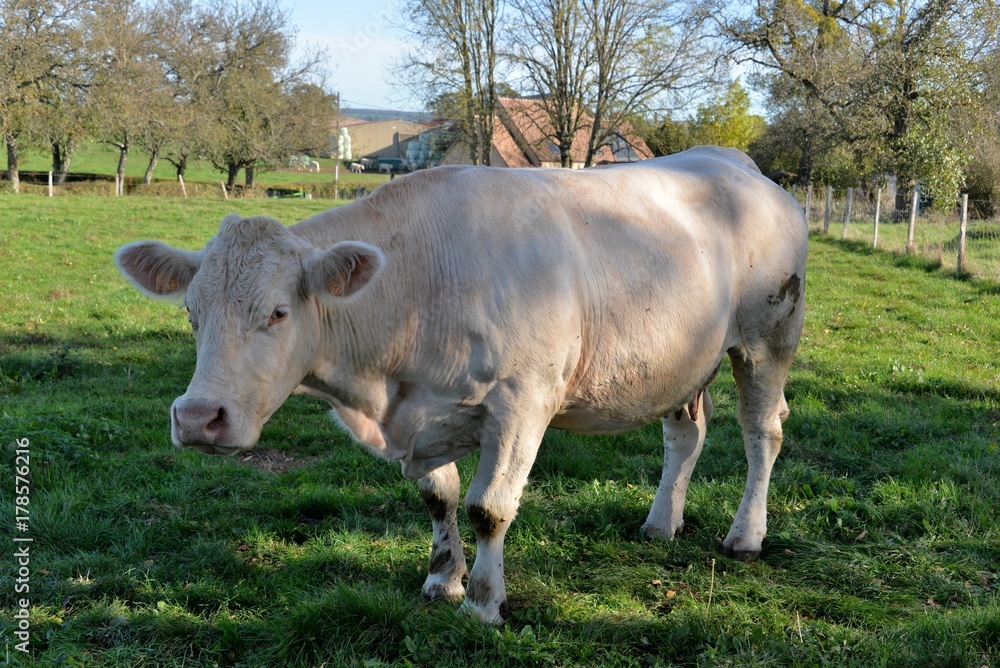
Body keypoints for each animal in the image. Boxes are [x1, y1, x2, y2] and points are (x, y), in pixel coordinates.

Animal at [114, 146, 807, 625]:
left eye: (279, 313)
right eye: (191, 312)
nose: (198, 418)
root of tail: (734, 161)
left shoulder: (522, 402)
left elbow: (487, 506)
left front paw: (482, 603)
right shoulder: (423, 413)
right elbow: (439, 497)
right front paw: (441, 581)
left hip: (769, 337)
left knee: (762, 432)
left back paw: (746, 535)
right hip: (682, 359)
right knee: (686, 433)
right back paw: (662, 523)